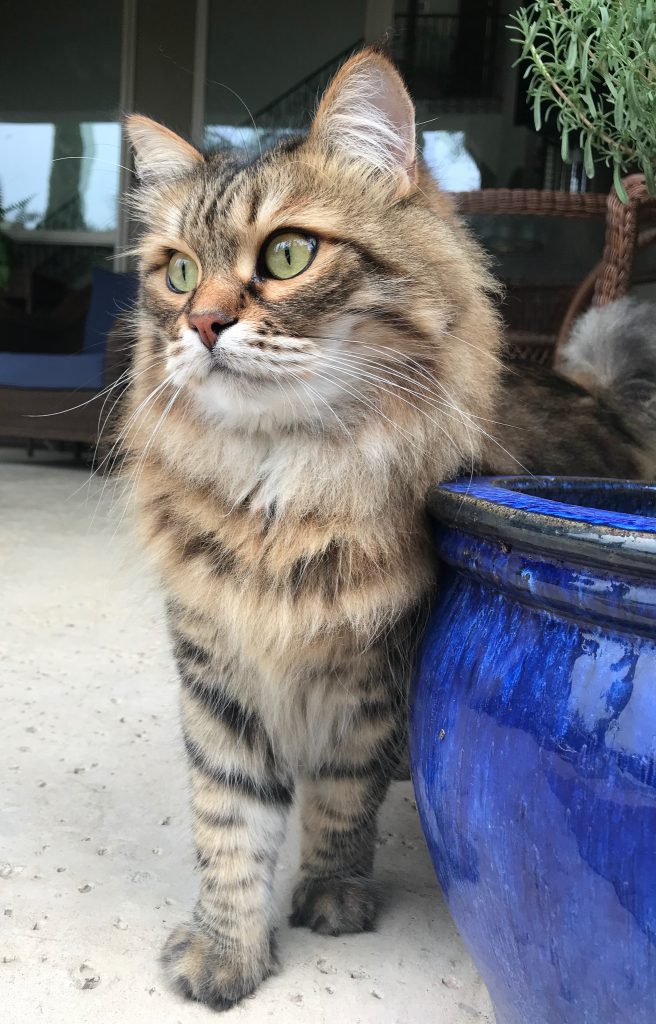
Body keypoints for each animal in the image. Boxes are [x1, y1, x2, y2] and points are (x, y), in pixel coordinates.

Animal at [118, 48, 654, 1007]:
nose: (201, 323)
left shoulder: (371, 674)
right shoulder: (216, 665)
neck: (281, 490)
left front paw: (332, 896)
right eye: (176, 273)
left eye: (288, 253)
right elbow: (230, 821)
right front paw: (226, 949)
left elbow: (339, 798)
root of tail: (594, 390)